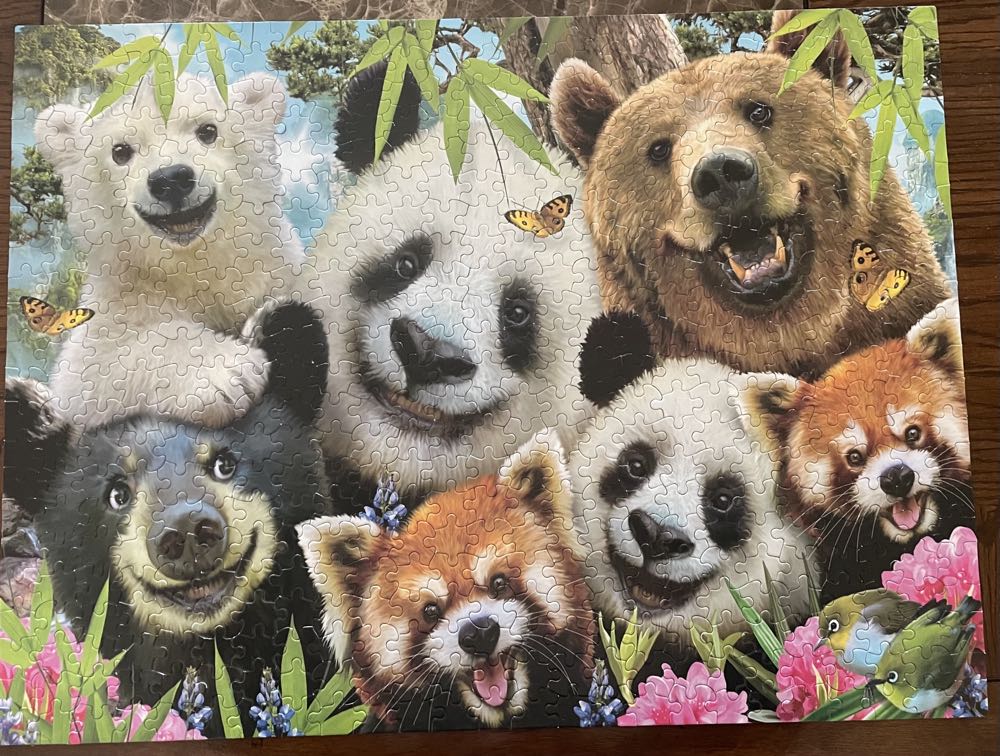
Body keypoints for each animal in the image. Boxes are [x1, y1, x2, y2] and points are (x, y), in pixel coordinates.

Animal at [34, 73, 303, 430]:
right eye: (120, 150)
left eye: (207, 130)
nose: (171, 179)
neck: (194, 261)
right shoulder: (123, 293)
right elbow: (97, 367)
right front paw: (229, 374)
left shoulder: (276, 266)